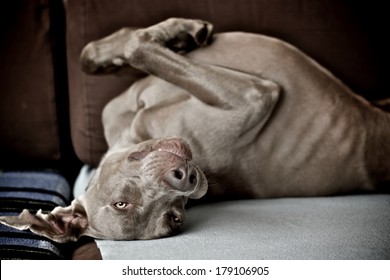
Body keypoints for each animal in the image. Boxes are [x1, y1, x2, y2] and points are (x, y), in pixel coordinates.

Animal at [0, 18, 390, 242]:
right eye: (175, 218)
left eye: (120, 202)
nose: (185, 178)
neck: (134, 130)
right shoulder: (255, 96)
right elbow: (136, 46)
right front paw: (175, 33)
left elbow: (101, 52)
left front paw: (178, 33)